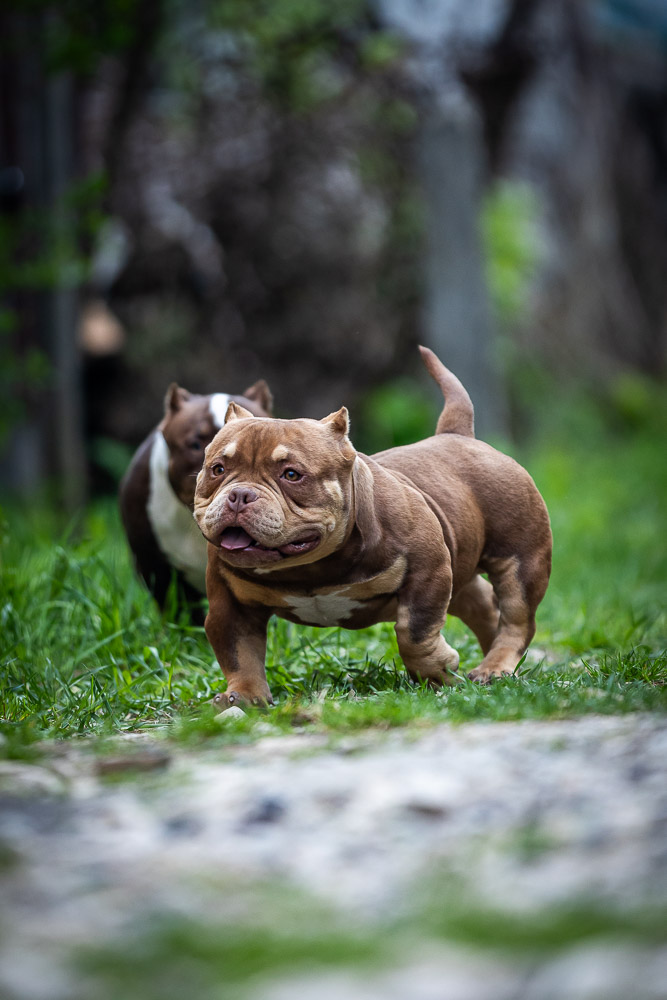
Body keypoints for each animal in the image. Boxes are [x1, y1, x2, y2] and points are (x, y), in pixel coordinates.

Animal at [193, 348, 551, 705]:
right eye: (217, 469)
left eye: (292, 474)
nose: (240, 495)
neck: (308, 569)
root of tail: (458, 434)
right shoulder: (230, 604)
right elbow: (239, 652)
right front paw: (244, 696)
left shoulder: (428, 574)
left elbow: (414, 633)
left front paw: (436, 672)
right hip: (459, 569)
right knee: (485, 606)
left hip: (522, 560)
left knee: (517, 618)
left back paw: (495, 667)